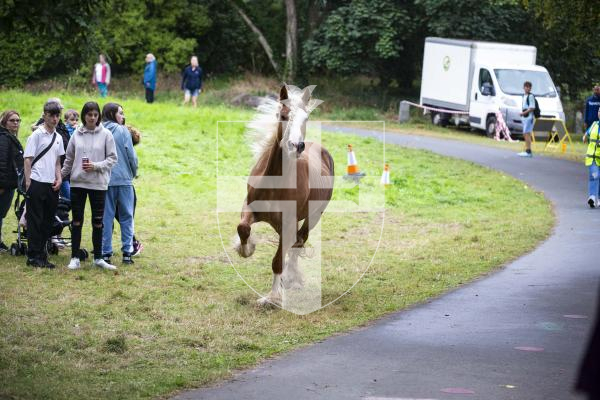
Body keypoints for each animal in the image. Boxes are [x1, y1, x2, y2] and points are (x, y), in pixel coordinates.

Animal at [237, 84, 336, 306]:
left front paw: (272, 297)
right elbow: (243, 228)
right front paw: (245, 249)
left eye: (306, 118)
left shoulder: (289, 222)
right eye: (283, 115)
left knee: (299, 241)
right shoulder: (249, 207)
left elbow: (278, 260)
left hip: (314, 216)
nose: (296, 146)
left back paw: (291, 278)